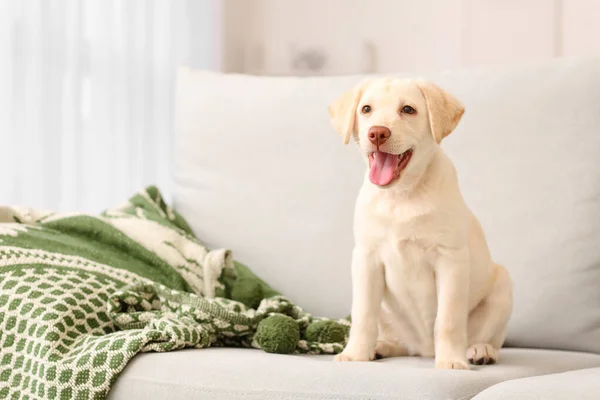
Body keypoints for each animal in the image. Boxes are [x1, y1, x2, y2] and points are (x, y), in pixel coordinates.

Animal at [330, 77, 512, 368]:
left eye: (408, 110)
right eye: (366, 109)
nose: (377, 133)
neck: (401, 195)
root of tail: (423, 350)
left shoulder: (451, 260)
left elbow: (448, 319)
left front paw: (451, 361)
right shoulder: (366, 259)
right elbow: (363, 314)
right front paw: (356, 354)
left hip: (503, 286)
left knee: (489, 338)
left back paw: (479, 351)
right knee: (397, 341)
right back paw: (381, 347)